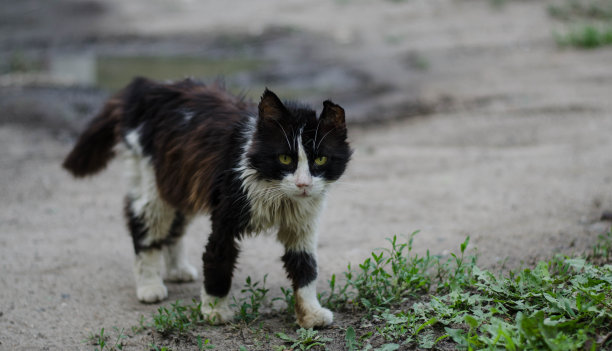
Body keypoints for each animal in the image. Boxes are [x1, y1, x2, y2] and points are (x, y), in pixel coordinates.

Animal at [62, 77, 352, 330]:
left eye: (321, 160)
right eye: (284, 159)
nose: (303, 184)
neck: (276, 194)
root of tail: (147, 85)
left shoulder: (302, 224)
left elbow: (307, 268)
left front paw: (311, 314)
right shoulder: (225, 217)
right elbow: (218, 261)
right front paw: (214, 310)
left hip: (179, 183)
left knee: (174, 228)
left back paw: (177, 269)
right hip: (153, 182)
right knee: (143, 225)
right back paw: (149, 285)